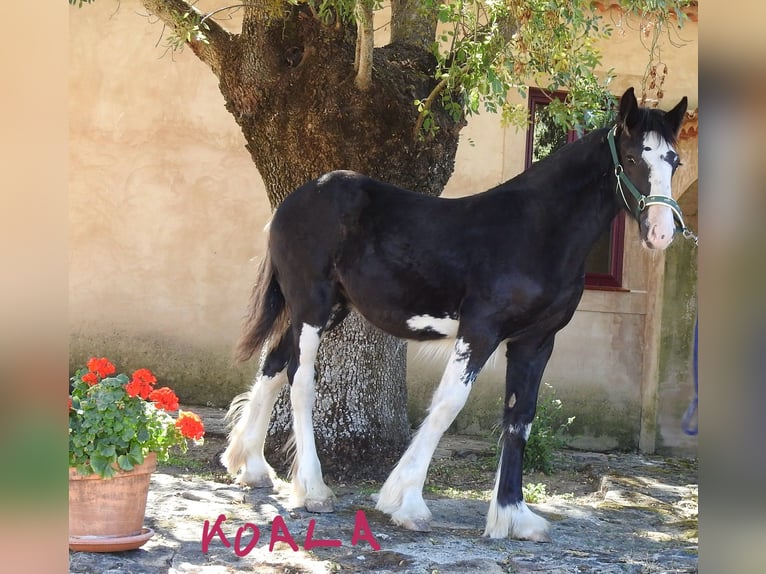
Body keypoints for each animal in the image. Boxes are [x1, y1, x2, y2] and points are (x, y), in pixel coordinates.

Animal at [222, 88, 688, 544]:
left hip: (330, 309)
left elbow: (520, 418)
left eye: (674, 161)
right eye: (632, 157)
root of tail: (292, 204)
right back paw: (314, 491)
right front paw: (406, 503)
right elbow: (448, 405)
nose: (661, 233)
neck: (536, 230)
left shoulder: (535, 342)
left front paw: (514, 516)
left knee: (274, 365)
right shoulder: (480, 331)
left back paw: (252, 467)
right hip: (312, 308)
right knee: (300, 381)